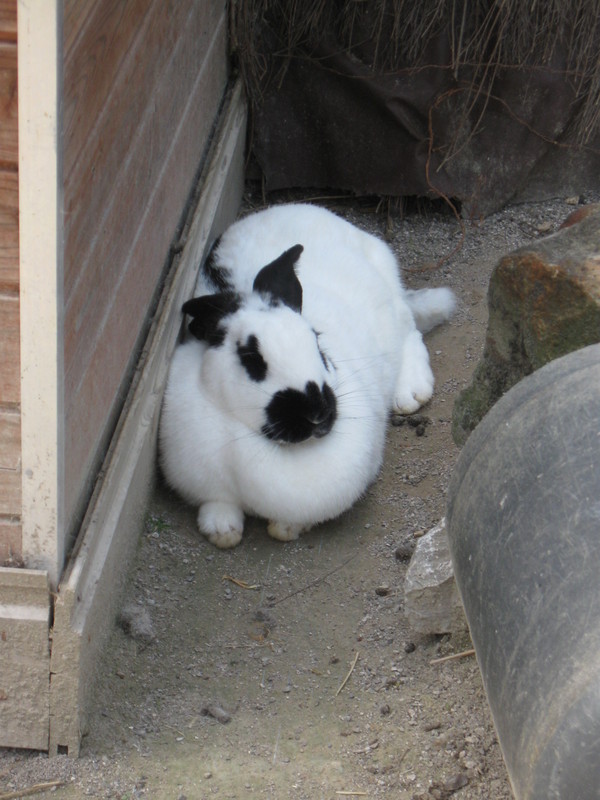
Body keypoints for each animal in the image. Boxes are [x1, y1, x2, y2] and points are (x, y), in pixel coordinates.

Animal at [159, 203, 454, 548]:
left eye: (318, 346)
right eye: (252, 360)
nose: (317, 413)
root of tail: (299, 207)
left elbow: (290, 523)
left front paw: (284, 528)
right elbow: (217, 504)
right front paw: (223, 531)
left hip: (392, 305)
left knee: (410, 334)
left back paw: (409, 393)